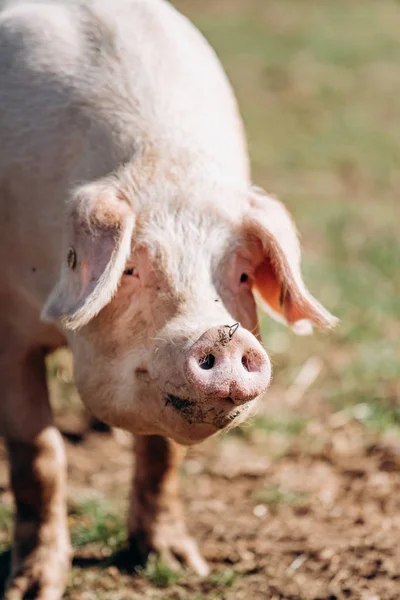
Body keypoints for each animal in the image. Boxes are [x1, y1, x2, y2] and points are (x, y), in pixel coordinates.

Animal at [0, 0, 338, 596]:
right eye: (131, 268)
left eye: (242, 276)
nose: (222, 337)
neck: (164, 163)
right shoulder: (7, 322)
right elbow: (38, 453)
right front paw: (33, 589)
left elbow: (162, 455)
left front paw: (180, 565)